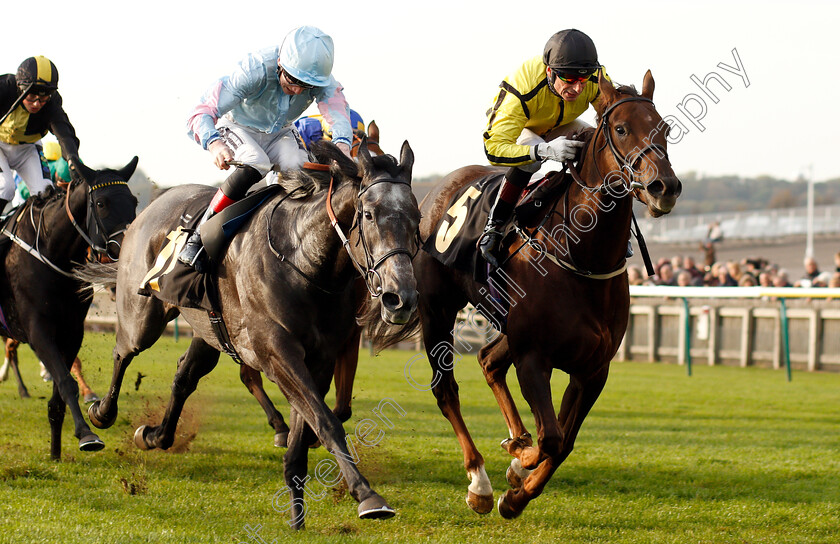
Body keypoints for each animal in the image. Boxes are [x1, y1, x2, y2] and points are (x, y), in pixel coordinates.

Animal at [0, 158, 138, 460]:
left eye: (134, 201)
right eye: (102, 203)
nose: (129, 250)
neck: (51, 253)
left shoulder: (72, 330)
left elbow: (59, 394)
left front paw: (55, 452)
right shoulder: (38, 329)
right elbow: (65, 381)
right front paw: (87, 434)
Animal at [85, 140, 420, 528]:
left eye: (417, 219)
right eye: (368, 215)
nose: (401, 297)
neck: (303, 261)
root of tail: (151, 207)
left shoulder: (318, 360)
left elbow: (306, 428)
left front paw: (297, 512)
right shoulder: (277, 352)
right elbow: (326, 421)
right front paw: (367, 496)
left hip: (209, 330)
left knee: (184, 376)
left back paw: (154, 435)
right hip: (144, 315)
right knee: (124, 351)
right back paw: (102, 412)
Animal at [414, 72, 684, 520]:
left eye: (663, 129)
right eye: (621, 128)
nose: (665, 186)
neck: (582, 257)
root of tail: (435, 193)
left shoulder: (593, 370)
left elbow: (564, 443)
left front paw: (518, 485)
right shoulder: (534, 358)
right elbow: (551, 438)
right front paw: (518, 467)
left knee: (488, 361)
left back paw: (513, 444)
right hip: (436, 310)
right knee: (446, 390)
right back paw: (479, 480)